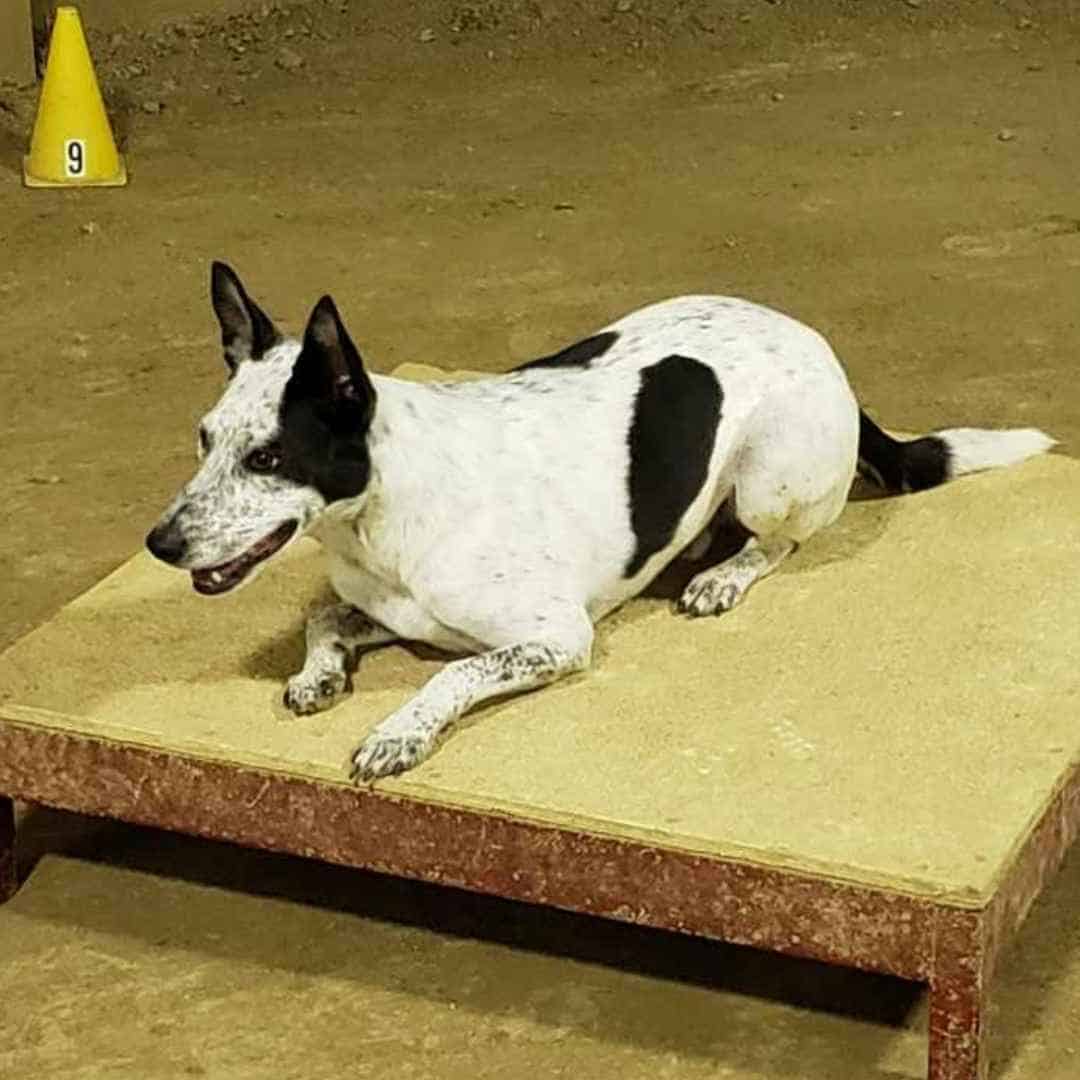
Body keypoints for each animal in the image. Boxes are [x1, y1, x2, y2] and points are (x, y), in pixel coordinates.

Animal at [143, 264, 1054, 781]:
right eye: (204, 439)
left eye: (267, 457)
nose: (159, 544)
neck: (384, 509)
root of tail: (817, 342)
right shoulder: (394, 611)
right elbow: (325, 618)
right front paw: (318, 676)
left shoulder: (556, 638)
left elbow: (450, 675)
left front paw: (398, 731)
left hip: (770, 477)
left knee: (781, 541)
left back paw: (722, 573)